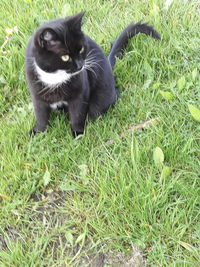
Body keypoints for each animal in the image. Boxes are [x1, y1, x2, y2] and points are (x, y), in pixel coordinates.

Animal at [25, 11, 160, 137]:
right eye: (65, 57)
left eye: (81, 49)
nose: (80, 65)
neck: (55, 77)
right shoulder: (36, 92)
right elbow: (40, 114)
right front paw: (38, 132)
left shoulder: (81, 90)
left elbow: (77, 113)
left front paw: (77, 133)